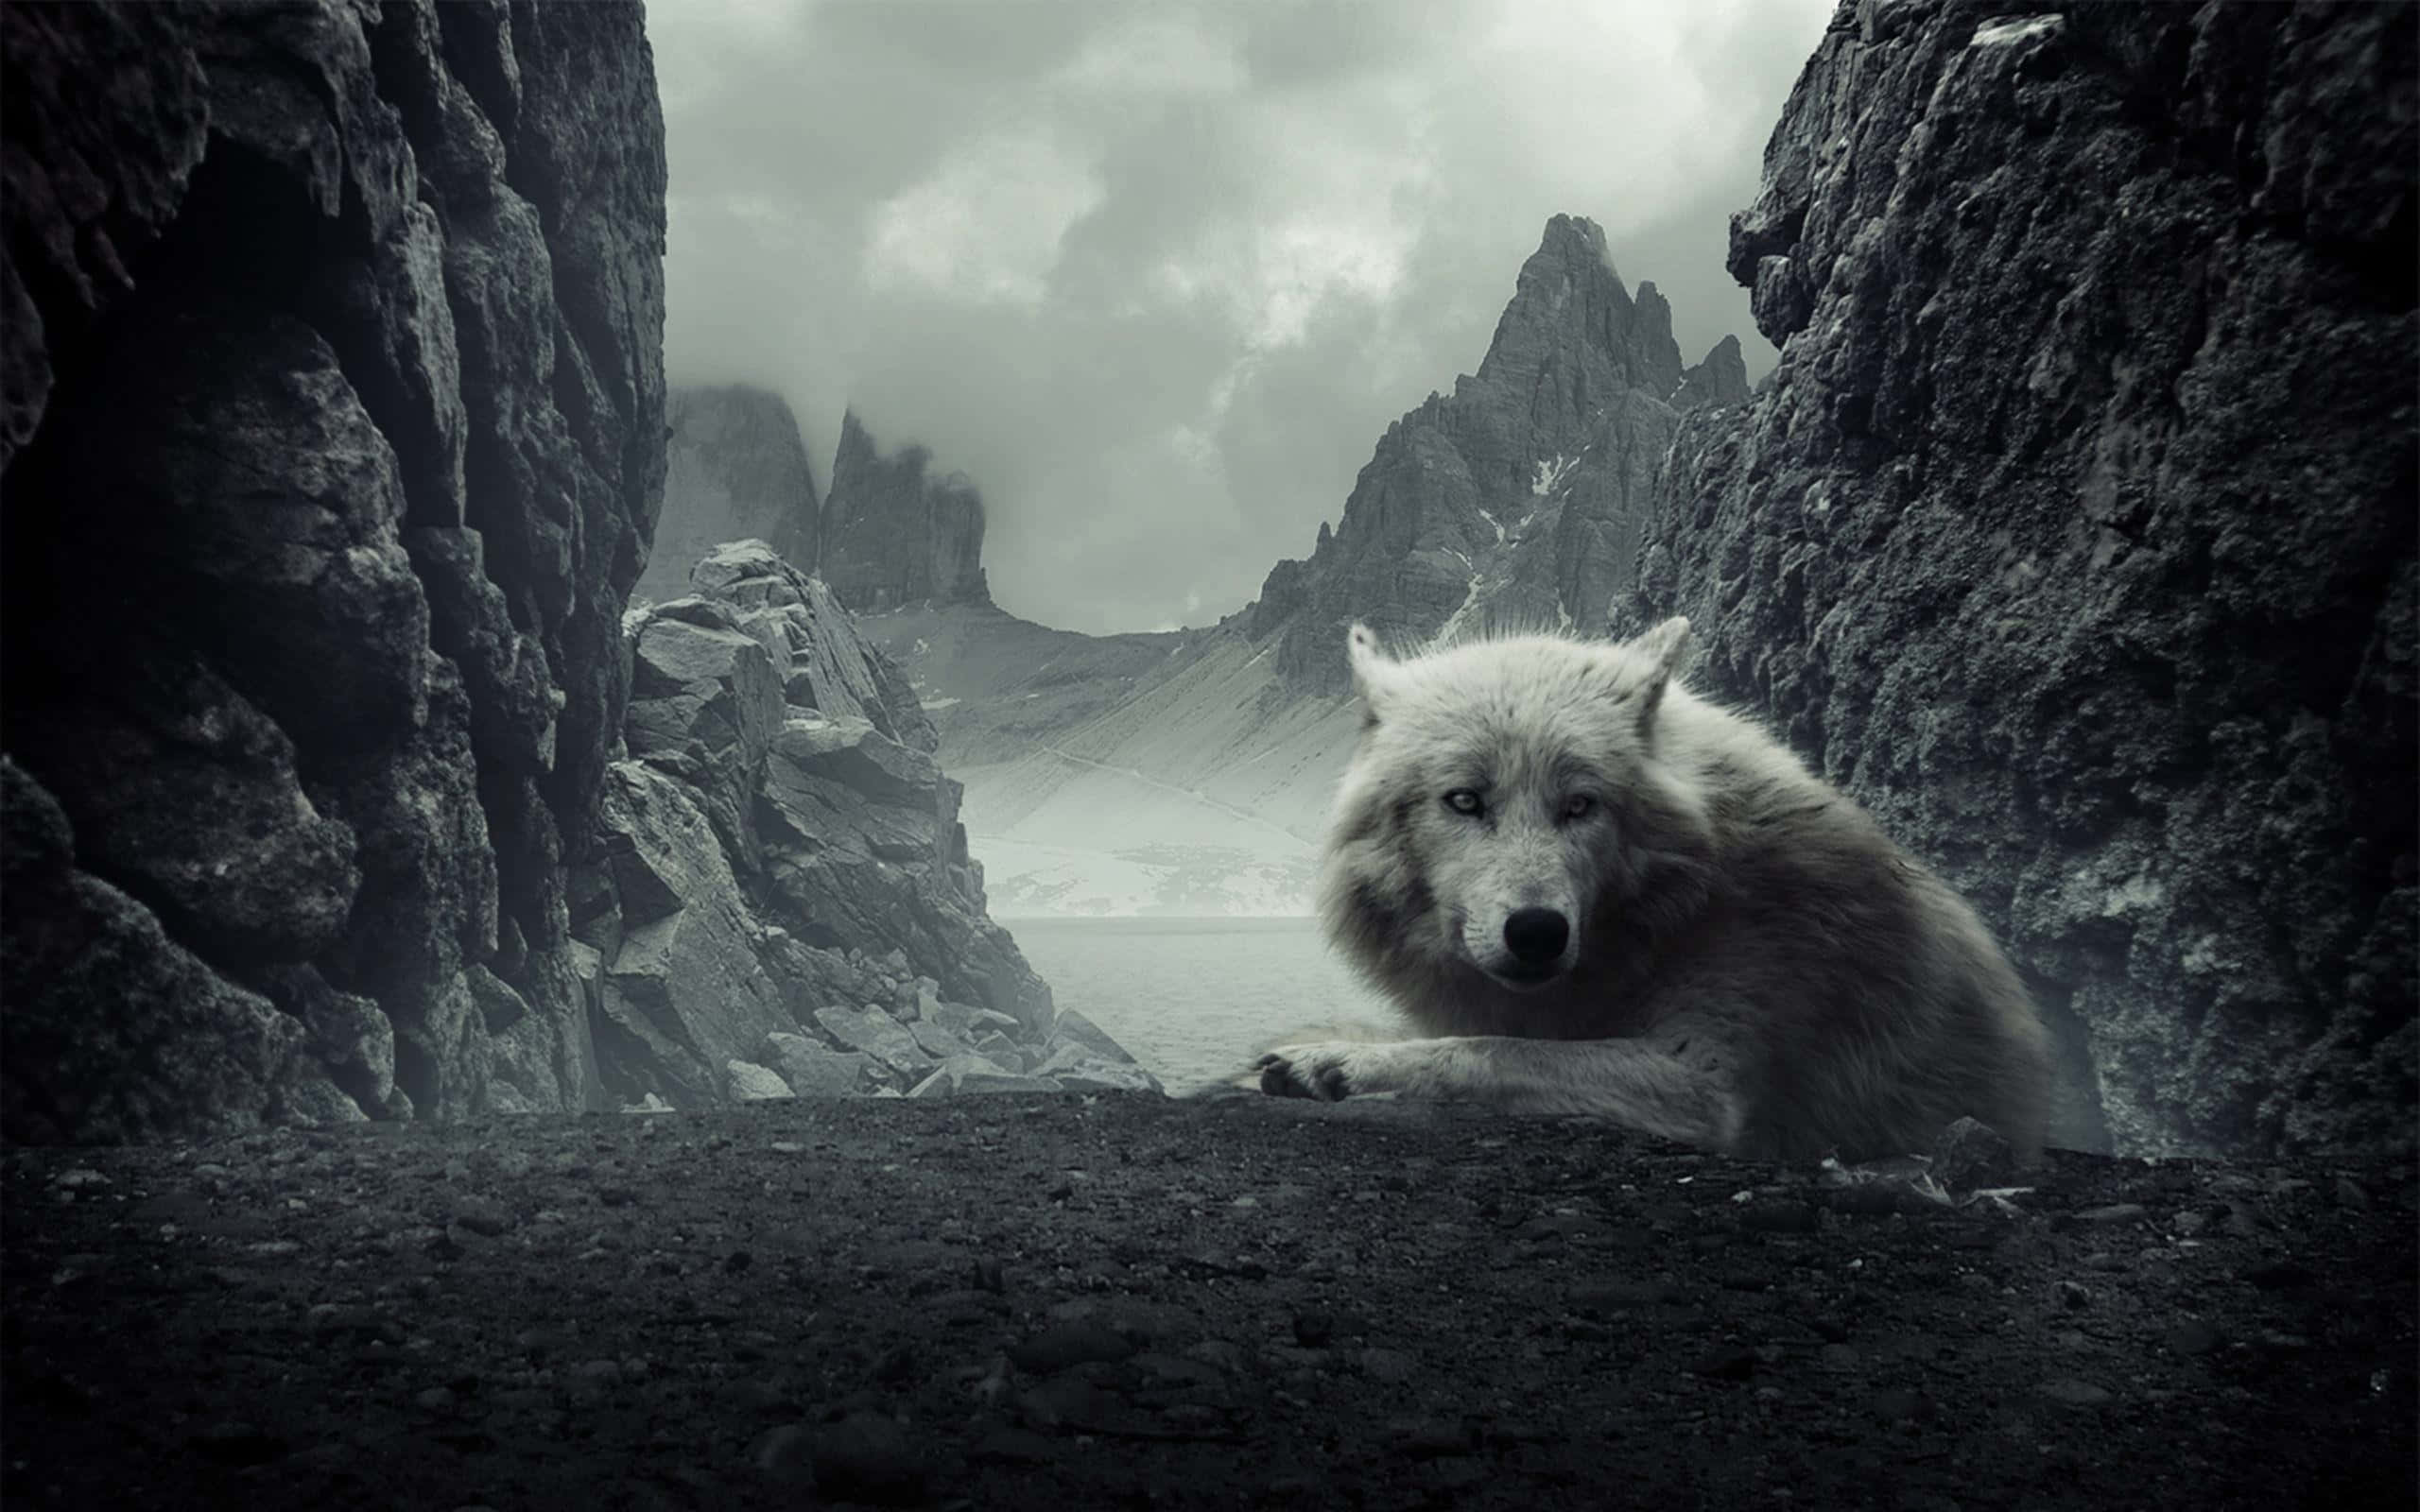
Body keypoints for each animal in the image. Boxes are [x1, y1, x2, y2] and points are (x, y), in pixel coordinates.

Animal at [1256, 618, 2051, 1163]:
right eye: (1464, 801)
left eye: (1581, 805)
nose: (1537, 932)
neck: (1677, 912)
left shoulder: (1703, 1080)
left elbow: (1488, 1051)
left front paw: (1334, 1062)